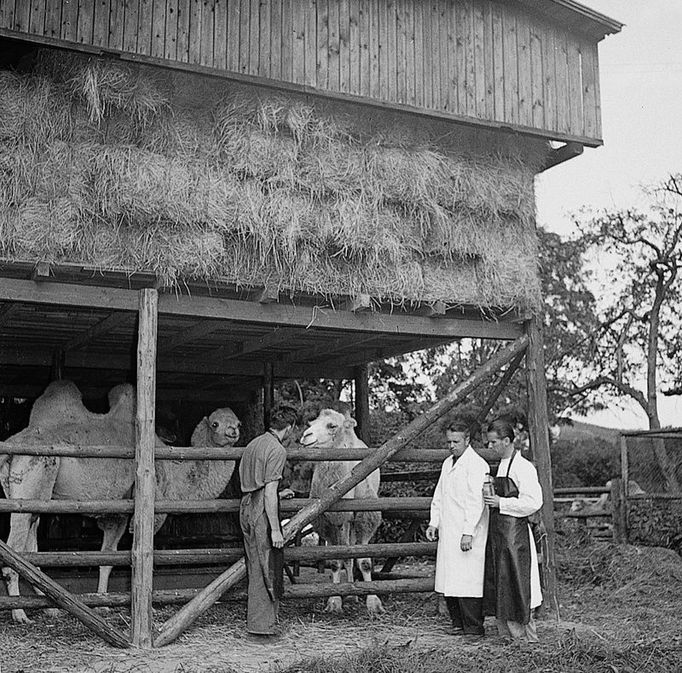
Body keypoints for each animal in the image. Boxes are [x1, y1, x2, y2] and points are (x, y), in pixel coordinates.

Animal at [0, 380, 240, 624]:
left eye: (238, 421)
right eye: (215, 423)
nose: (233, 431)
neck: (174, 468)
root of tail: (12, 446)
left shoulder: (117, 514)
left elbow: (107, 558)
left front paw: (103, 604)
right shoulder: (152, 512)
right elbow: (143, 557)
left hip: (32, 495)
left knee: (31, 540)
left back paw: (50, 608)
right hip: (32, 479)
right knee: (17, 542)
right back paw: (19, 614)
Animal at [298, 404, 382, 616]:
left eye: (332, 425)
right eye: (311, 423)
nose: (305, 436)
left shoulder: (365, 517)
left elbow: (365, 561)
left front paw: (373, 602)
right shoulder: (328, 521)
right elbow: (336, 560)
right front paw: (334, 600)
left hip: (352, 521)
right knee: (347, 555)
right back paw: (350, 594)